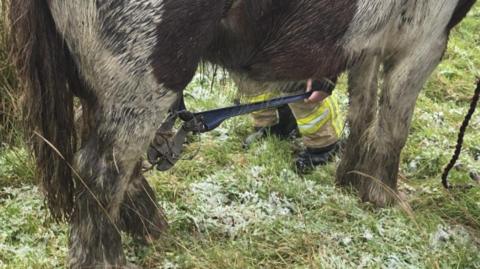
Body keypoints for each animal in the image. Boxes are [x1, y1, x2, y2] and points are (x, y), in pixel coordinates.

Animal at [7, 1, 476, 266]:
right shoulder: (426, 41)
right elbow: (395, 123)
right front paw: (384, 197)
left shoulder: (371, 43)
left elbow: (363, 110)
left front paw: (352, 181)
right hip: (145, 75)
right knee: (100, 170)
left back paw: (150, 226)